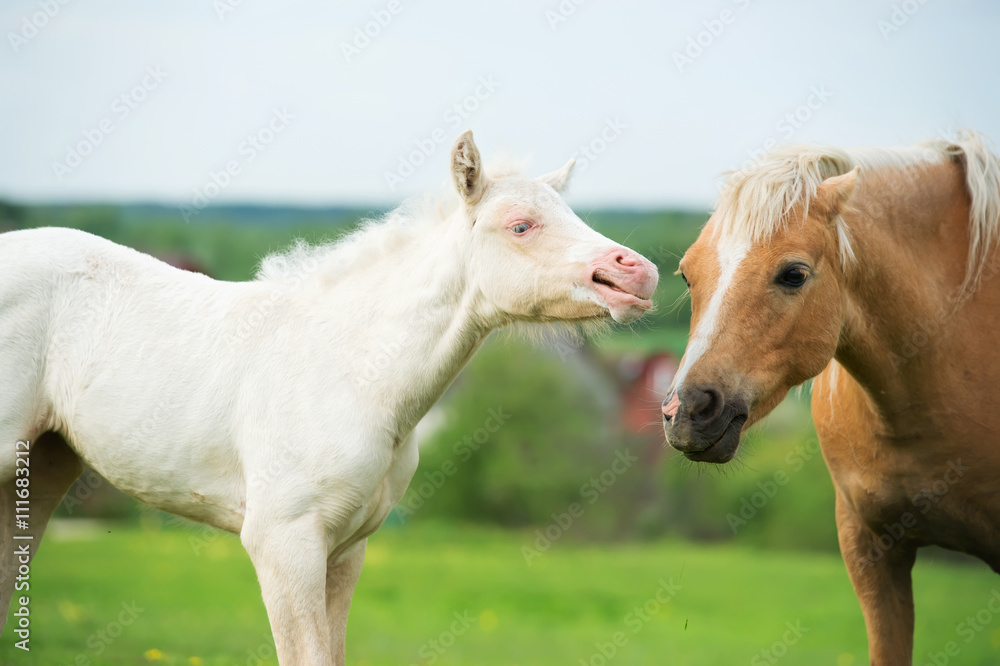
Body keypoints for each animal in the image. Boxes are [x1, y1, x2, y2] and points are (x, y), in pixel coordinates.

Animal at [0, 131, 658, 665]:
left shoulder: (347, 551)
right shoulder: (282, 542)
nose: (638, 274)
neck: (351, 371)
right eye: (521, 225)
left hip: (46, 463)